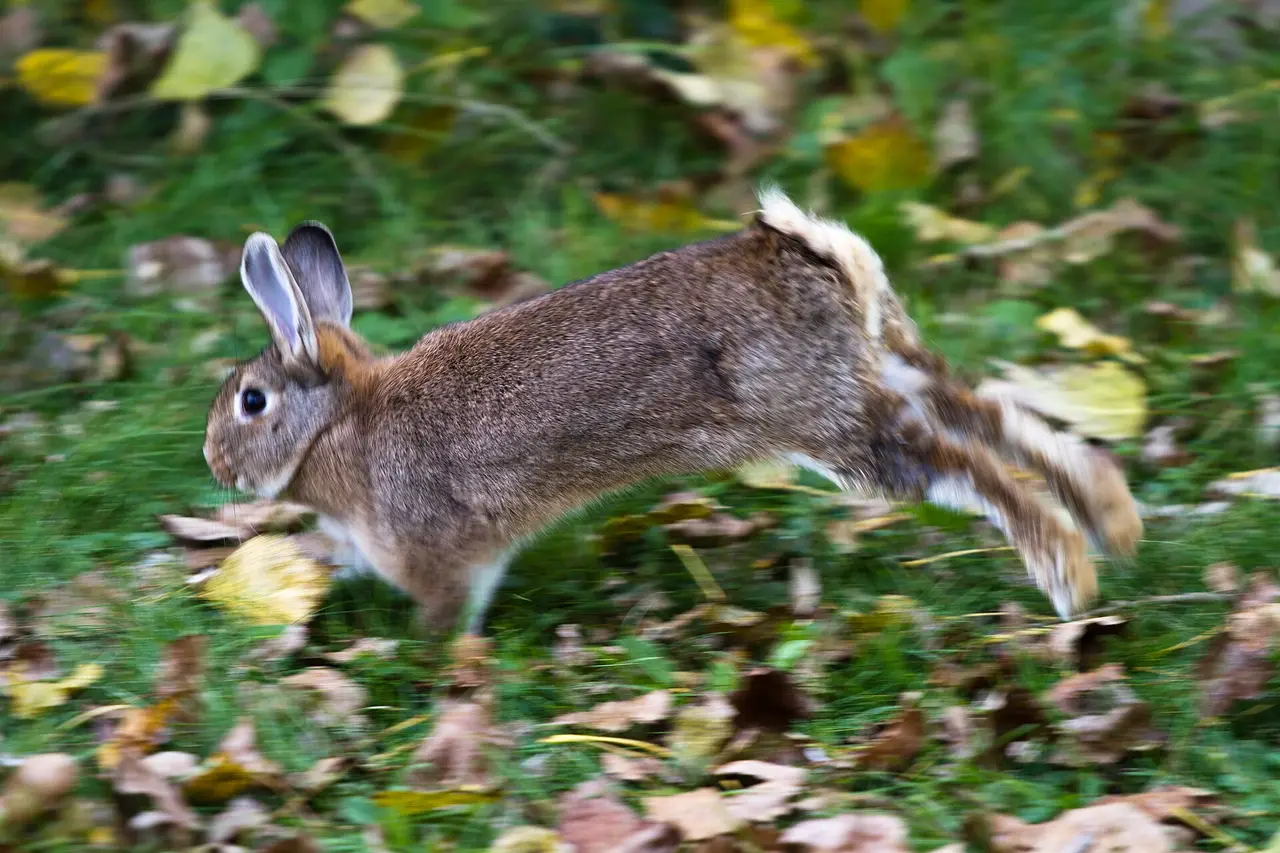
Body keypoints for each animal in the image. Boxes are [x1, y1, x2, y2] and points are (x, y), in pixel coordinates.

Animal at [203, 187, 1142, 634]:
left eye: (251, 400)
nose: (214, 464)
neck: (341, 422)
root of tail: (814, 260)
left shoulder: (437, 554)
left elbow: (447, 608)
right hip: (885, 370)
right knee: (993, 415)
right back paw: (1112, 521)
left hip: (835, 424)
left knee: (969, 465)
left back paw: (1070, 573)